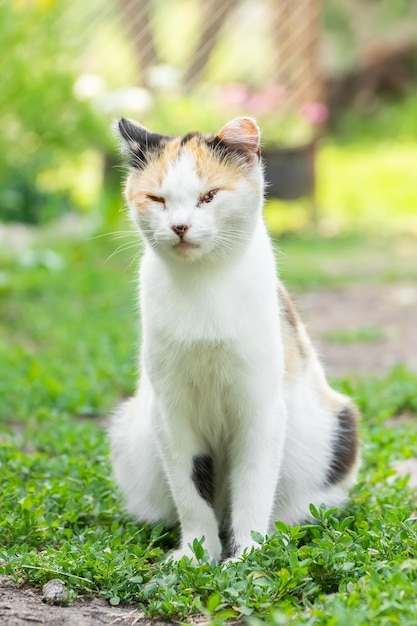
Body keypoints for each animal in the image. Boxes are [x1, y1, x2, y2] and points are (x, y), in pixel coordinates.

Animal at [109, 117, 360, 560]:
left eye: (208, 196)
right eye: (157, 198)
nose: (180, 226)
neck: (204, 286)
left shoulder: (261, 408)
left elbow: (253, 485)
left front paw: (246, 555)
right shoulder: (170, 411)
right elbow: (191, 490)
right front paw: (196, 555)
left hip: (340, 426)